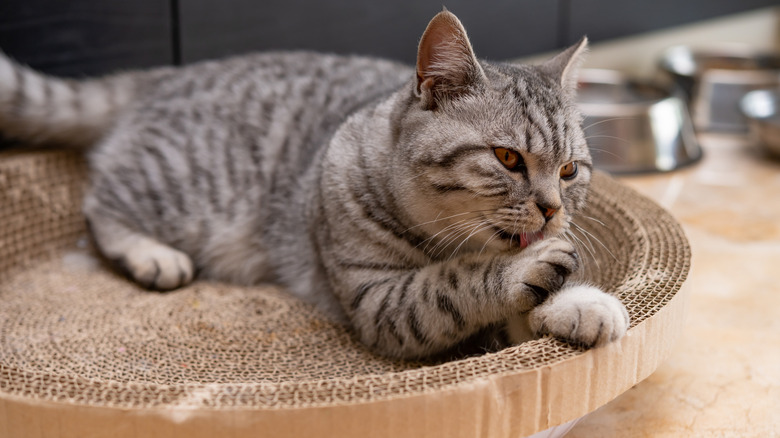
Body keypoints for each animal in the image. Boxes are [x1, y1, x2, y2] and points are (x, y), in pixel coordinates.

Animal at [0, 11, 632, 360]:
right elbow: (454, 282)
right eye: (507, 158)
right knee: (99, 203)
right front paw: (525, 271)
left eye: (570, 171)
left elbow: (535, 305)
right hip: (181, 188)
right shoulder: (381, 302)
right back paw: (153, 255)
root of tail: (169, 73)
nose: (552, 209)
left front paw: (580, 303)